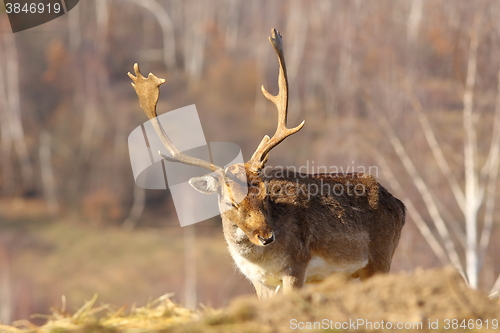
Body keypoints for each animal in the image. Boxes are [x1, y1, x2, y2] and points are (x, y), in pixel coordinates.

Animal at [129, 27, 406, 298]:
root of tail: (400, 205)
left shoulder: (296, 266)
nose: (266, 236)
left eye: (265, 196)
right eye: (232, 202)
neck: (259, 261)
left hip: (381, 258)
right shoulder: (259, 281)